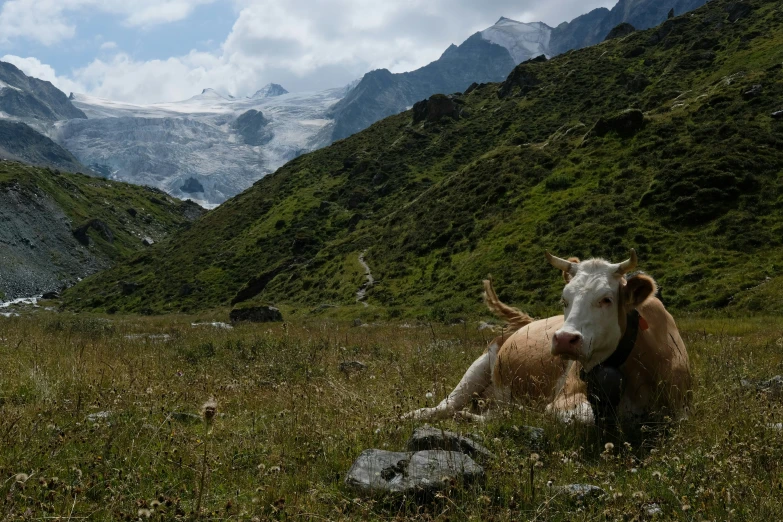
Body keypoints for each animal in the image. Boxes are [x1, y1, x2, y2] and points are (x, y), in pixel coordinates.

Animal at [404, 250, 692, 424]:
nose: (564, 339)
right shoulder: (565, 396)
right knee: (448, 405)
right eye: (564, 299)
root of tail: (525, 321)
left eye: (607, 299)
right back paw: (412, 415)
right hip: (481, 363)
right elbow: (581, 416)